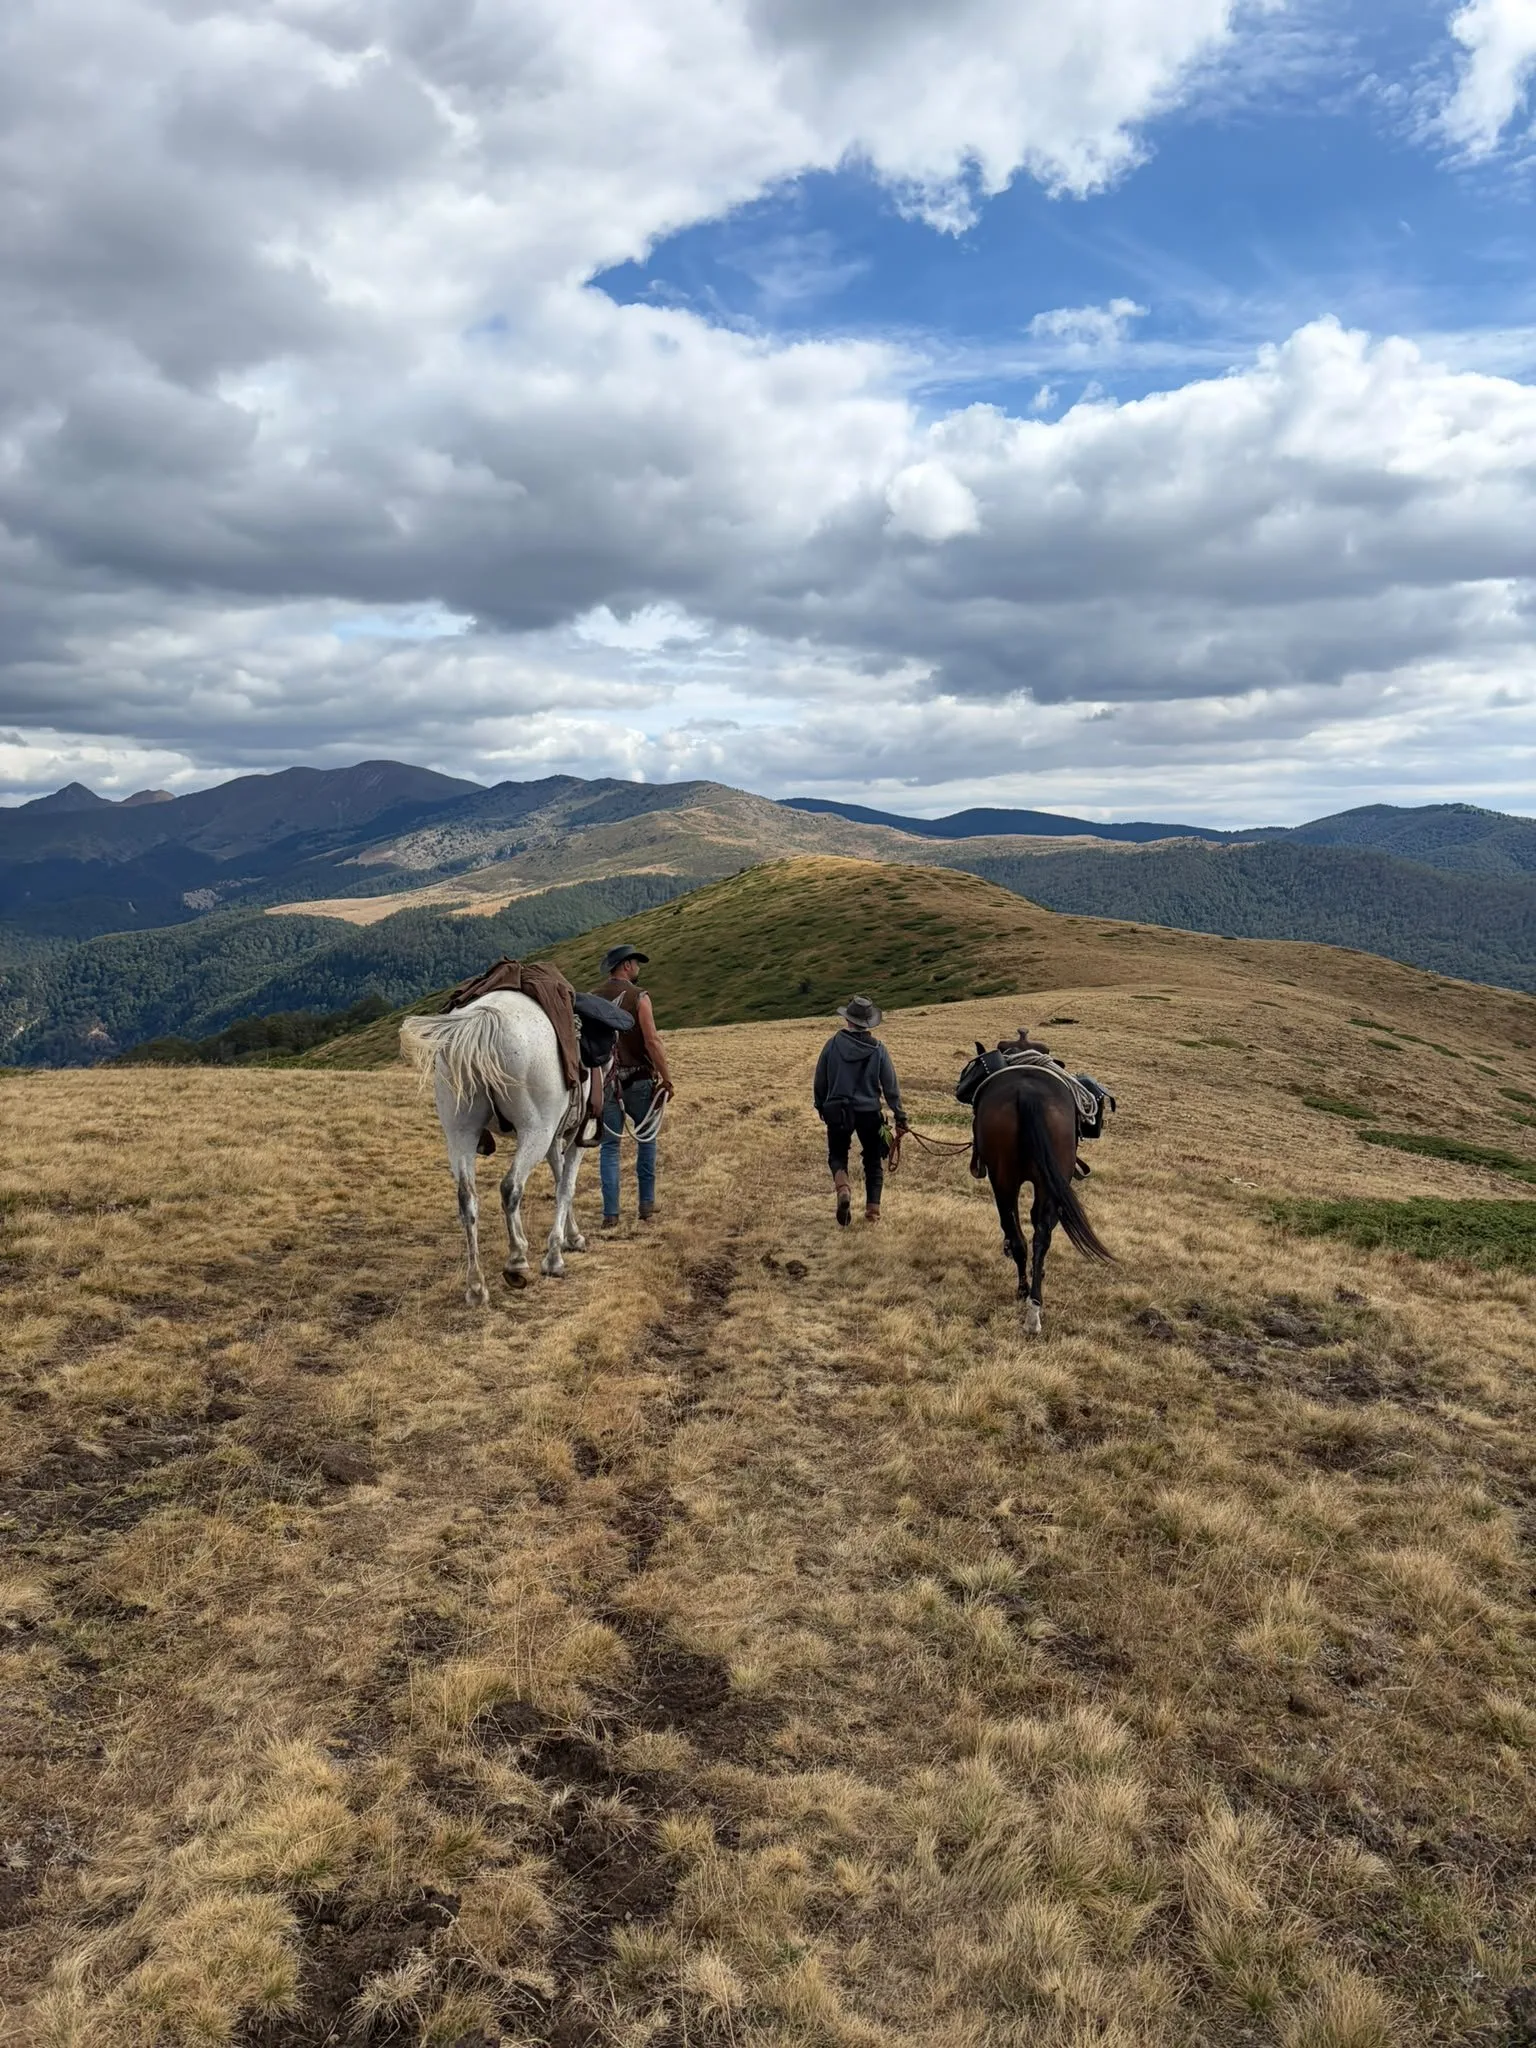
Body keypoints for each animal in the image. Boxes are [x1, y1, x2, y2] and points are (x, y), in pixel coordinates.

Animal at [401, 992, 589, 1304]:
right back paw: (517, 1259)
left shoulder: (555, 1139)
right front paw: (557, 1255)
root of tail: (483, 1019)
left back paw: (476, 1285)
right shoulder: (578, 1135)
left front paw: (569, 1236)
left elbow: (560, 1178)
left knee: (467, 1198)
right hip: (535, 1131)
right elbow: (566, 1187)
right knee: (511, 1187)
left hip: (461, 1133)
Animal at [958, 1046, 1114, 1334]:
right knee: (1039, 1236)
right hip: (1040, 1183)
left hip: (1006, 1181)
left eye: (972, 1068)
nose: (959, 1088)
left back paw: (1026, 1294)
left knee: (1022, 1234)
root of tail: (1028, 1094)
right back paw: (1033, 1303)